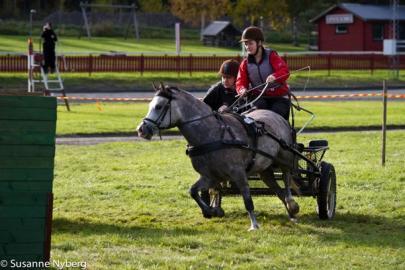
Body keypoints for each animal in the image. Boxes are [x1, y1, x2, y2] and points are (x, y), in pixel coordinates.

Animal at [137, 85, 298, 231]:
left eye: (158, 106)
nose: (141, 129)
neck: (212, 135)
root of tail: (278, 117)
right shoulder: (210, 177)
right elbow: (193, 191)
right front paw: (211, 210)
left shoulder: (238, 173)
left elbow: (247, 199)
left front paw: (254, 225)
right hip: (264, 168)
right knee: (276, 187)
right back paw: (290, 212)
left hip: (284, 157)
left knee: (286, 177)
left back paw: (291, 204)